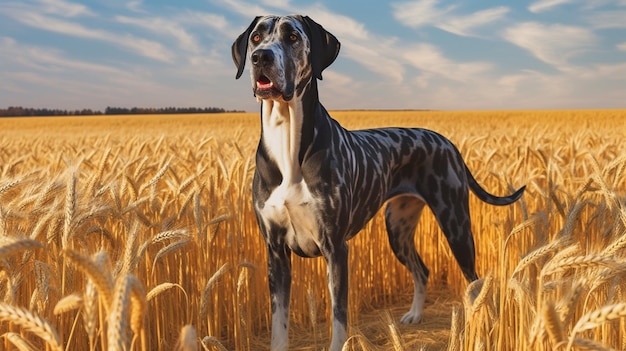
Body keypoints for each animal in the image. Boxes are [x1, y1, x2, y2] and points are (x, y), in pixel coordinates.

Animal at [232, 15, 524, 350]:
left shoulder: (336, 249)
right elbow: (278, 324)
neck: (287, 140)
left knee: (475, 282)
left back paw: (480, 326)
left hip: (455, 224)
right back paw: (415, 315)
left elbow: (339, 318)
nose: (261, 58)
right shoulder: (276, 251)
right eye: (256, 37)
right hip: (398, 228)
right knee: (422, 270)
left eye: (292, 36)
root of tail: (447, 142)